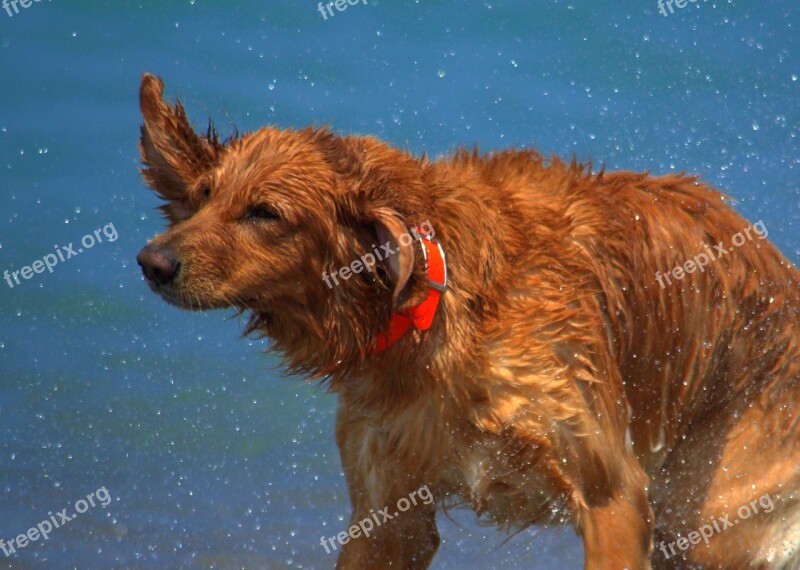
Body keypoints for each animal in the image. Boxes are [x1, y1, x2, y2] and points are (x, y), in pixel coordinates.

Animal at [134, 73, 796, 564]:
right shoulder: (385, 511)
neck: (435, 322)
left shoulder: (612, 492)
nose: (151, 261)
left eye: (265, 213)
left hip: (710, 513)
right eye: (204, 196)